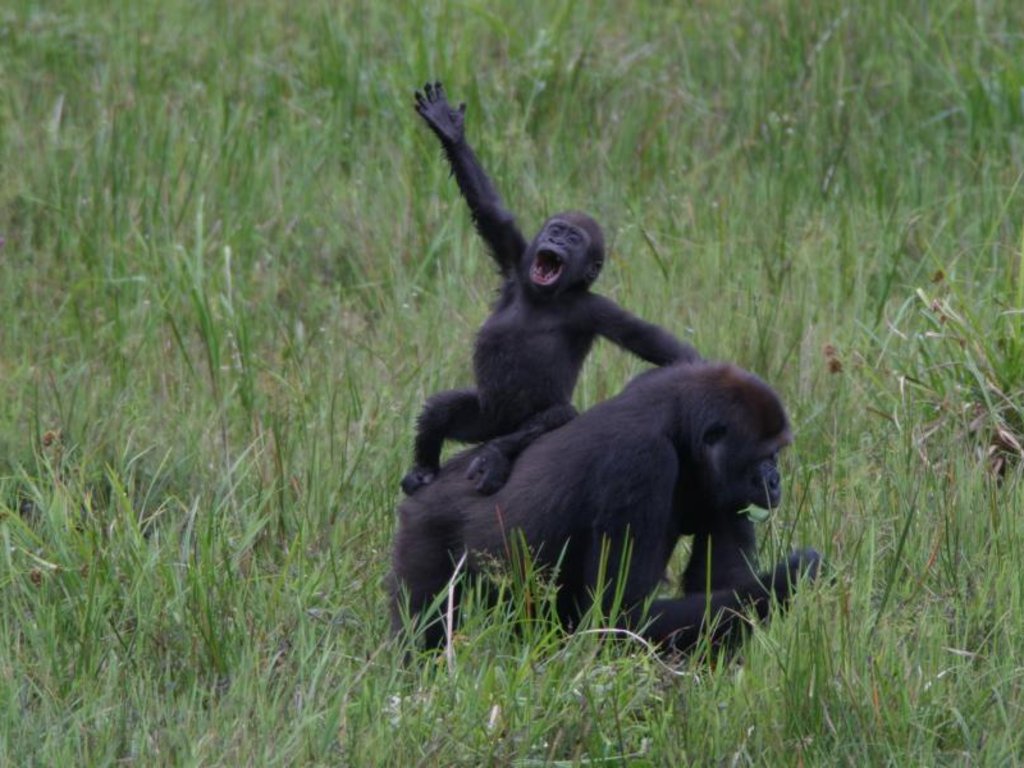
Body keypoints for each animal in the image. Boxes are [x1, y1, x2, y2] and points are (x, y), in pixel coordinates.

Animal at [387, 364, 819, 651]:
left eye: (776, 455)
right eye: (765, 457)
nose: (774, 482)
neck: (678, 423)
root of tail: (432, 480)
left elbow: (722, 585)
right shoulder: (640, 460)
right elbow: (621, 614)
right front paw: (796, 575)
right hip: (424, 530)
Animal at [403, 82, 700, 493]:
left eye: (573, 240)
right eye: (556, 230)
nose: (556, 242)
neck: (546, 295)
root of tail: (497, 428)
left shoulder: (595, 308)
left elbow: (667, 350)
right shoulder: (517, 260)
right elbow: (490, 211)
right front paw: (451, 132)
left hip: (510, 424)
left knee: (556, 416)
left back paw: (497, 453)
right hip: (483, 416)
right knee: (441, 410)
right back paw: (425, 466)